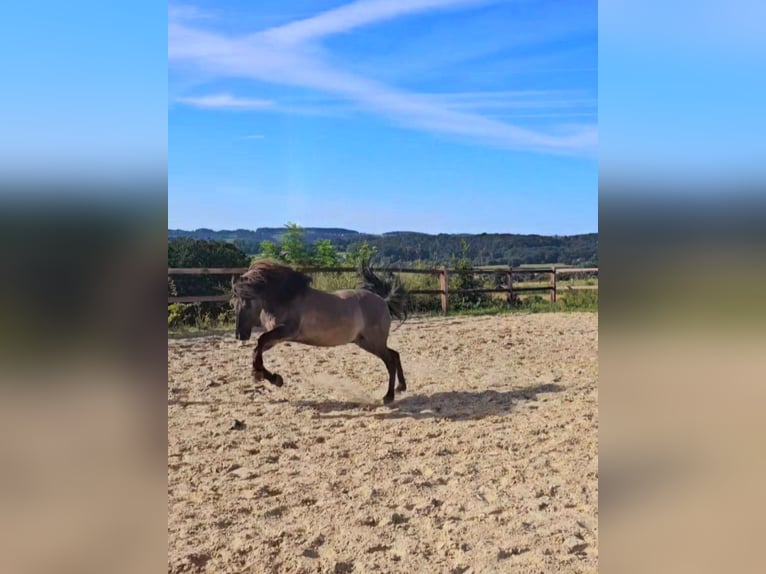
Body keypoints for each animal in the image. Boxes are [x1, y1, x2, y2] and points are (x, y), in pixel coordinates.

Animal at [234, 260, 412, 404]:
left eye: (245, 302)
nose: (240, 335)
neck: (286, 298)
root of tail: (383, 301)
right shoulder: (277, 338)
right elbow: (257, 348)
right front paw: (269, 377)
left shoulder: (286, 331)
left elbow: (260, 341)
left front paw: (268, 377)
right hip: (366, 342)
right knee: (395, 355)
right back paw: (401, 388)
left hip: (374, 342)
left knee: (390, 361)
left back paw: (388, 397)